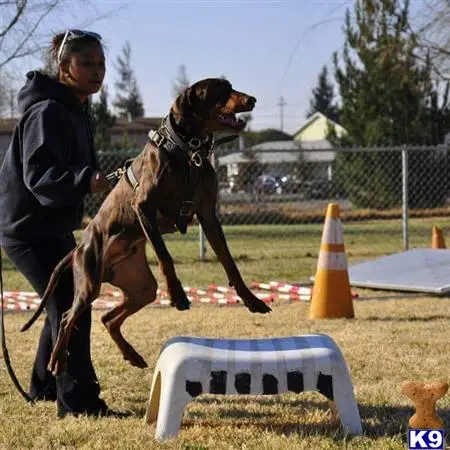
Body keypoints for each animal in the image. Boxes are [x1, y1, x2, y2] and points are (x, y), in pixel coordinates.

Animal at [22, 78, 270, 376]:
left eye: (231, 86)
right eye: (220, 90)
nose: (252, 100)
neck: (188, 152)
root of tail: (79, 247)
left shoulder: (208, 215)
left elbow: (229, 262)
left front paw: (251, 299)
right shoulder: (144, 207)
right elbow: (165, 256)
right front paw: (177, 294)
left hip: (142, 287)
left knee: (108, 318)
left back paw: (131, 355)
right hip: (89, 282)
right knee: (67, 317)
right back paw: (58, 359)